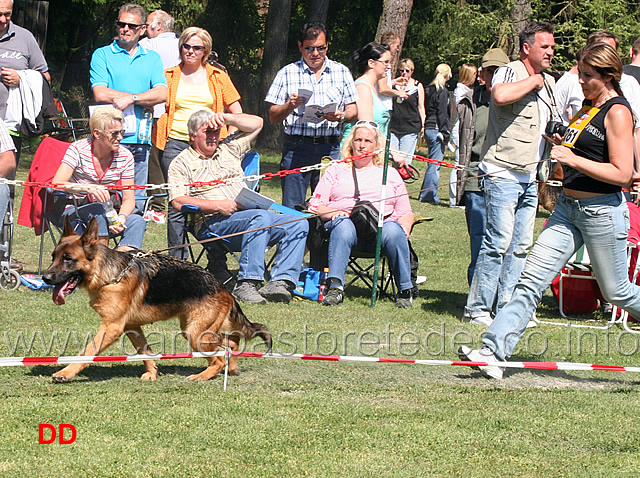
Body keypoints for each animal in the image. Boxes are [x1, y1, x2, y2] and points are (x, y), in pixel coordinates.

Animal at [42, 218, 272, 382]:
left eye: (68, 259)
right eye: (53, 257)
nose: (45, 278)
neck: (110, 276)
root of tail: (223, 288)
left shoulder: (111, 327)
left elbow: (88, 350)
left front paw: (66, 372)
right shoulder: (131, 327)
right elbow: (145, 351)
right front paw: (152, 373)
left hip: (195, 333)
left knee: (218, 358)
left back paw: (201, 376)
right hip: (197, 330)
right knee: (231, 342)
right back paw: (231, 368)